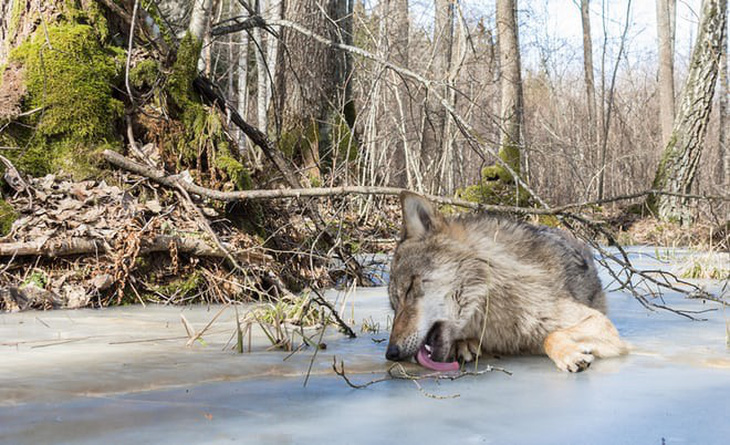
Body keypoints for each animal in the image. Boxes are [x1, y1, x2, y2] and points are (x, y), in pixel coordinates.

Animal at [384, 191, 628, 372]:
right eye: (394, 306)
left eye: (409, 289)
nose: (391, 353)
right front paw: (464, 344)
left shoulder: (601, 324)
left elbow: (550, 336)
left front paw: (570, 355)